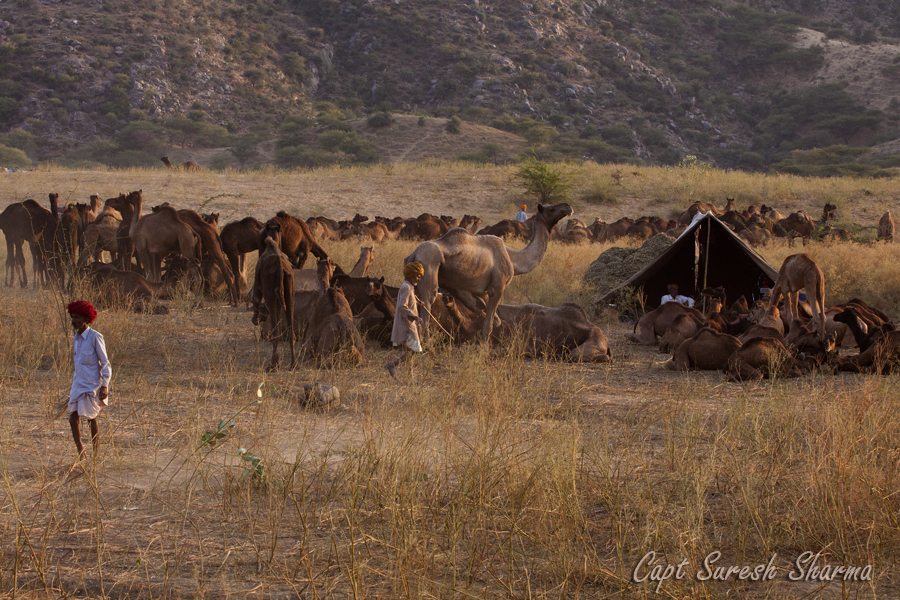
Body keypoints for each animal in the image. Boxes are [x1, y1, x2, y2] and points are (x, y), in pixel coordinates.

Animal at [251, 224, 296, 371]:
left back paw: (272, 365)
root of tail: (280, 268)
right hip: (289, 293)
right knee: (290, 332)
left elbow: (256, 298)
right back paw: (293, 364)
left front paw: (255, 319)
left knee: (275, 334)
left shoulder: (259, 284)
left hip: (271, 293)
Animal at [405, 202, 573, 341]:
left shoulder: (479, 290)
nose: (568, 207)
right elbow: (490, 323)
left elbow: (488, 314)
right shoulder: (497, 288)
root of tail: (414, 254)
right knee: (427, 304)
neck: (513, 258)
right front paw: (484, 349)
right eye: (550, 208)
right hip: (429, 266)